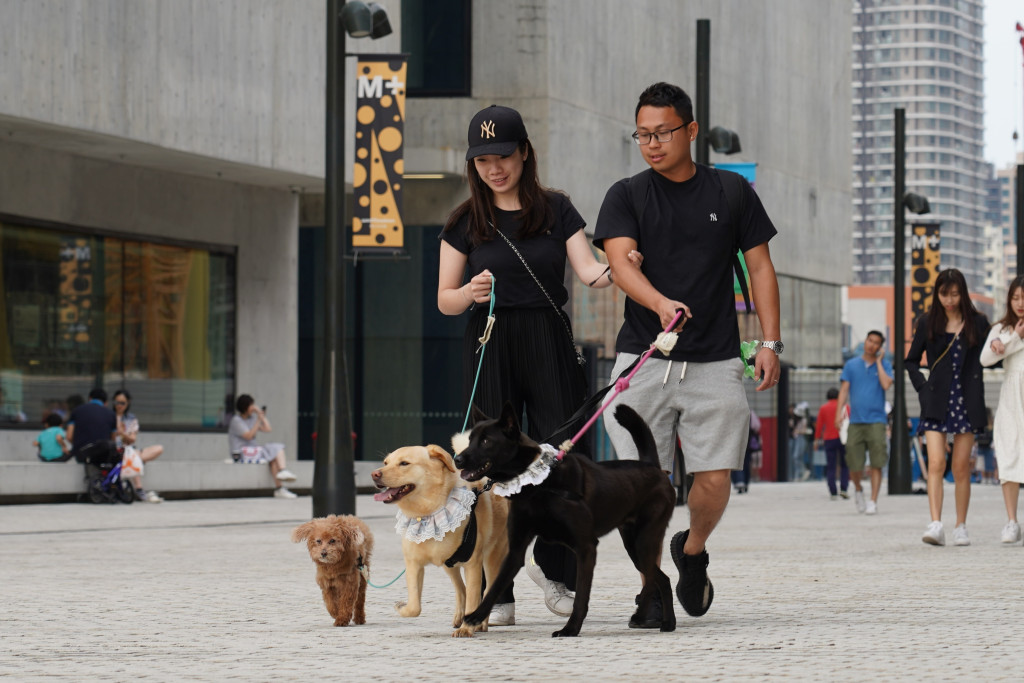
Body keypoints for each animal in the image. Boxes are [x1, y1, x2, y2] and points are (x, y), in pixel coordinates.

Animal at [371, 444, 509, 633]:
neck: (429, 513)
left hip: (493, 558)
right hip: (449, 564)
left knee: (486, 592)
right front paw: (402, 607)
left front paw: (466, 629)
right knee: (461, 589)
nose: (374, 474)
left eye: (404, 463)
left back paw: (481, 623)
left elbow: (474, 599)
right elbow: (414, 607)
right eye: (385, 463)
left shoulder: (473, 564)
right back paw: (459, 617)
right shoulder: (413, 564)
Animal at [452, 402, 676, 638]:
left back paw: (641, 616)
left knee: (651, 579)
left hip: (644, 541)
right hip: (633, 546)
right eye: (470, 440)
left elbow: (581, 597)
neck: (538, 485)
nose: (458, 460)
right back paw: (668, 623)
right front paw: (474, 617)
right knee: (663, 579)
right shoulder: (515, 551)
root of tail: (653, 467)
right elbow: (496, 586)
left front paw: (570, 628)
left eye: (486, 441)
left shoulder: (586, 548)